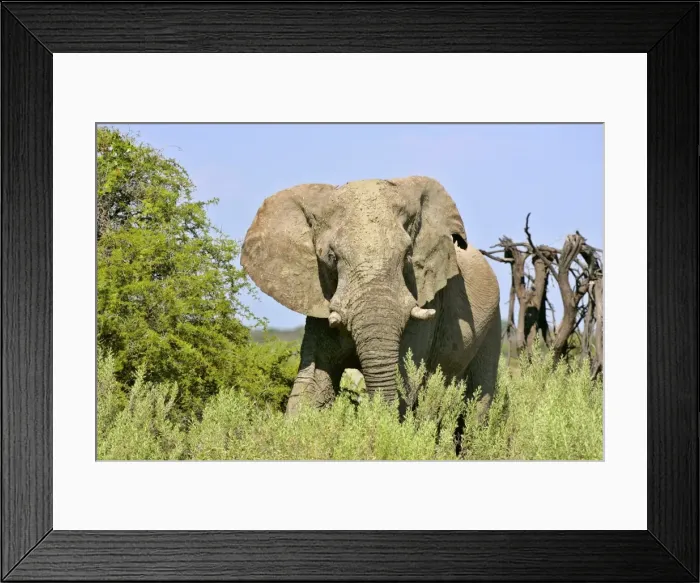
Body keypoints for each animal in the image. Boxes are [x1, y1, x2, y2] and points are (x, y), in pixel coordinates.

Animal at [241, 176, 502, 418]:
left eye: (408, 255)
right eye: (331, 257)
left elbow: (405, 378)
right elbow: (312, 384)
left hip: (492, 325)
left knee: (476, 407)